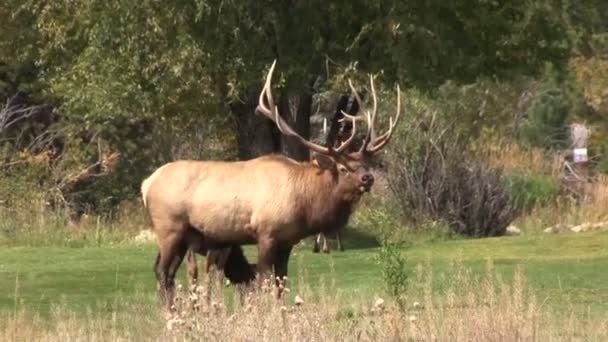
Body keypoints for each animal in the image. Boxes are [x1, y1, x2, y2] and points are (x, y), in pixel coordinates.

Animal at [140, 60, 402, 308]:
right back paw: (171, 313)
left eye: (365, 163)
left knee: (166, 271)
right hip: (169, 227)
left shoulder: (287, 241)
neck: (304, 205)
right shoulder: (266, 232)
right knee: (162, 270)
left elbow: (281, 283)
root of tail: (146, 184)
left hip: (185, 236)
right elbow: (264, 281)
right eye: (343, 168)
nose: (368, 178)